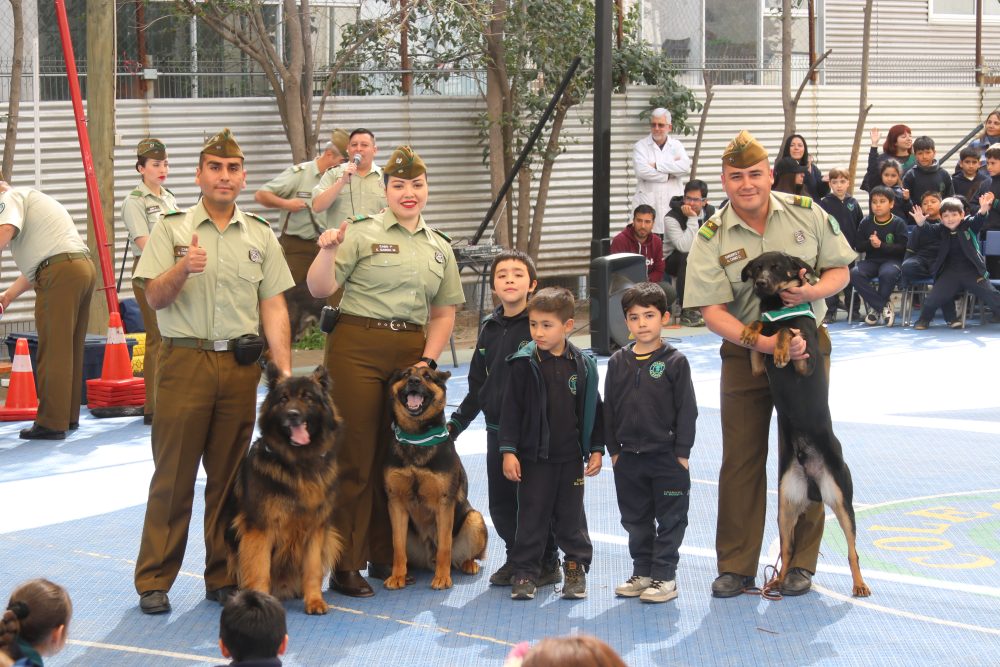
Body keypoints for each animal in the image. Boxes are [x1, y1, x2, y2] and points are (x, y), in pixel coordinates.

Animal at [132, 128, 292, 612]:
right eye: (216, 166)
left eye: (231, 167)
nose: (225, 177)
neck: (220, 217)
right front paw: (190, 261)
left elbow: (272, 301)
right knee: (171, 483)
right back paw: (153, 590)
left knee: (221, 484)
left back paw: (223, 584)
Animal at [225, 366, 346, 616]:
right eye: (283, 399)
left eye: (307, 397)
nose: (292, 414)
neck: (297, 464)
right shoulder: (259, 529)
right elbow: (259, 569)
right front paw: (260, 602)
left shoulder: (316, 529)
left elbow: (313, 570)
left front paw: (314, 600)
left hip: (331, 537)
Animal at [382, 366, 488, 588]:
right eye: (405, 375)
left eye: (427, 376)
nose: (414, 381)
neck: (416, 437)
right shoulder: (396, 503)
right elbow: (398, 547)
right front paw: (397, 576)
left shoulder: (444, 503)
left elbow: (445, 547)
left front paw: (442, 577)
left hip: (475, 519)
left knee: (463, 555)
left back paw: (467, 564)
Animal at [740, 253, 872, 596]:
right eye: (756, 268)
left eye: (776, 267)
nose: (760, 283)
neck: (779, 306)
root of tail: (813, 478)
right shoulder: (757, 365)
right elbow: (762, 327)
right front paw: (749, 331)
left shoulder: (806, 363)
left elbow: (787, 332)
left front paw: (782, 349)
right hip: (786, 504)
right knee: (786, 551)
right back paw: (778, 581)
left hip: (841, 498)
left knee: (852, 550)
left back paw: (860, 585)